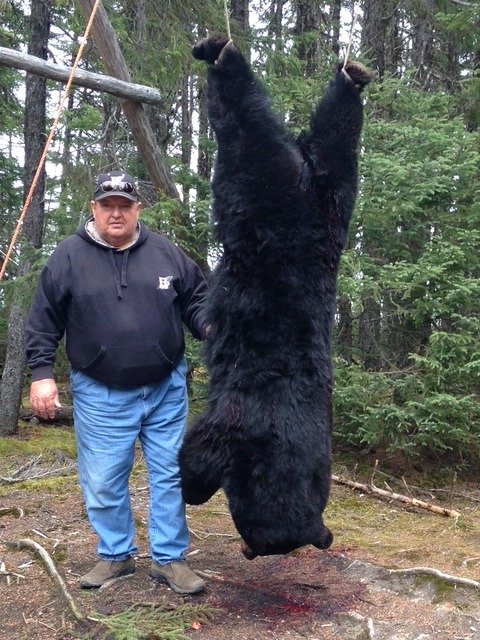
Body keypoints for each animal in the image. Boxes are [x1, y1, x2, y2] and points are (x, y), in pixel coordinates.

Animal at [179, 36, 374, 559]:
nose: (253, 548)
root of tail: (305, 183)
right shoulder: (250, 423)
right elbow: (207, 447)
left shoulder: (241, 421)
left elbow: (204, 444)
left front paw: (189, 482)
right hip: (296, 189)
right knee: (257, 121)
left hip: (314, 195)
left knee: (318, 135)